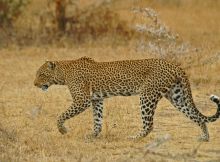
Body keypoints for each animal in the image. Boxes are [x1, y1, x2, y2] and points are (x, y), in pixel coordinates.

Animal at [34, 56, 220, 140]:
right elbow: (97, 119)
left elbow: (61, 116)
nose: (35, 84)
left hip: (147, 96)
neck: (63, 73)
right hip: (177, 96)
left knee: (149, 125)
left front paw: (63, 130)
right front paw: (93, 135)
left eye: (41, 74)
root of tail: (174, 64)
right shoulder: (96, 100)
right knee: (197, 116)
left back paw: (135, 137)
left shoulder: (82, 100)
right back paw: (204, 137)